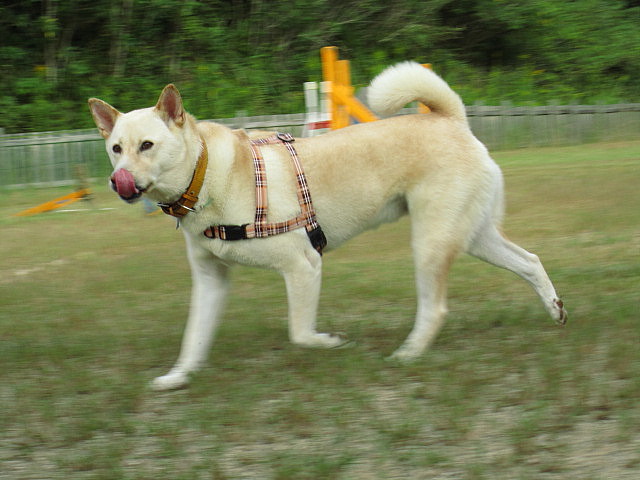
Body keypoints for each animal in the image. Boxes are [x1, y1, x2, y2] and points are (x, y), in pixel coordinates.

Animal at [89, 62, 567, 390]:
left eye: (147, 145)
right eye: (115, 149)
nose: (118, 181)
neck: (208, 176)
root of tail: (449, 118)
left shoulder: (303, 267)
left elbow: (300, 333)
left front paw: (332, 342)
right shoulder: (212, 280)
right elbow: (193, 338)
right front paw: (178, 377)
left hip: (432, 242)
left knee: (435, 308)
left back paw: (408, 354)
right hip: (473, 236)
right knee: (530, 260)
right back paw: (555, 309)